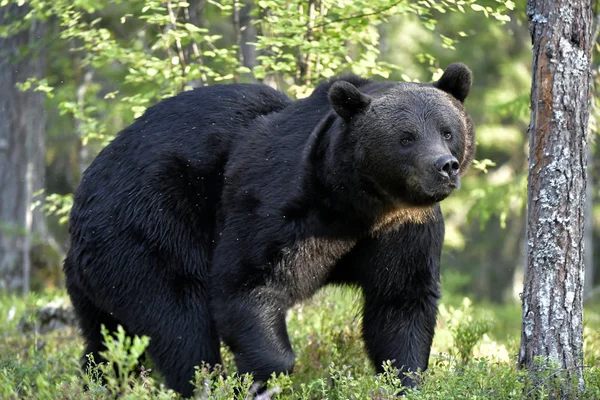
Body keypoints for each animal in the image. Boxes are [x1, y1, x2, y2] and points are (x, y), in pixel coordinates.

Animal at [64, 62, 474, 396]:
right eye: (406, 137)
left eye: (447, 130)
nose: (444, 166)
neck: (356, 203)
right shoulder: (278, 205)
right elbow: (247, 283)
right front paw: (261, 377)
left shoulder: (403, 230)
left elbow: (400, 305)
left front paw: (406, 380)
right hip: (143, 228)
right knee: (178, 320)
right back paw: (205, 384)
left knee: (107, 343)